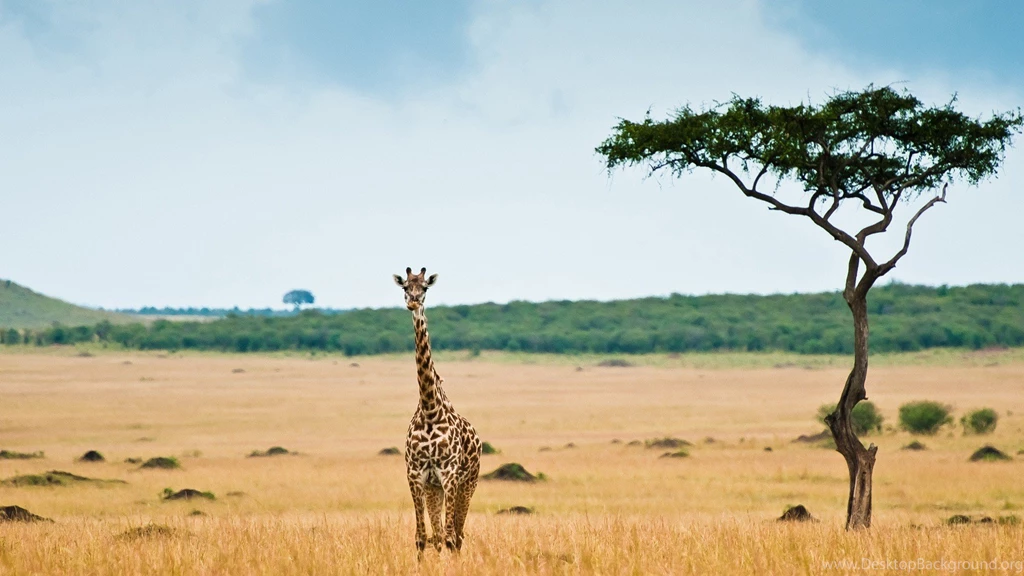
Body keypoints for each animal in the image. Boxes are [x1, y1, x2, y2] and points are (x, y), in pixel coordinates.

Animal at [393, 267, 482, 556]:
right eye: (405, 287)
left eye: (425, 288)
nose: (413, 302)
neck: (430, 409)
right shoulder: (416, 475)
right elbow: (423, 537)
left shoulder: (449, 475)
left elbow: (451, 536)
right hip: (435, 489)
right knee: (439, 534)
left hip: (468, 484)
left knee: (458, 535)